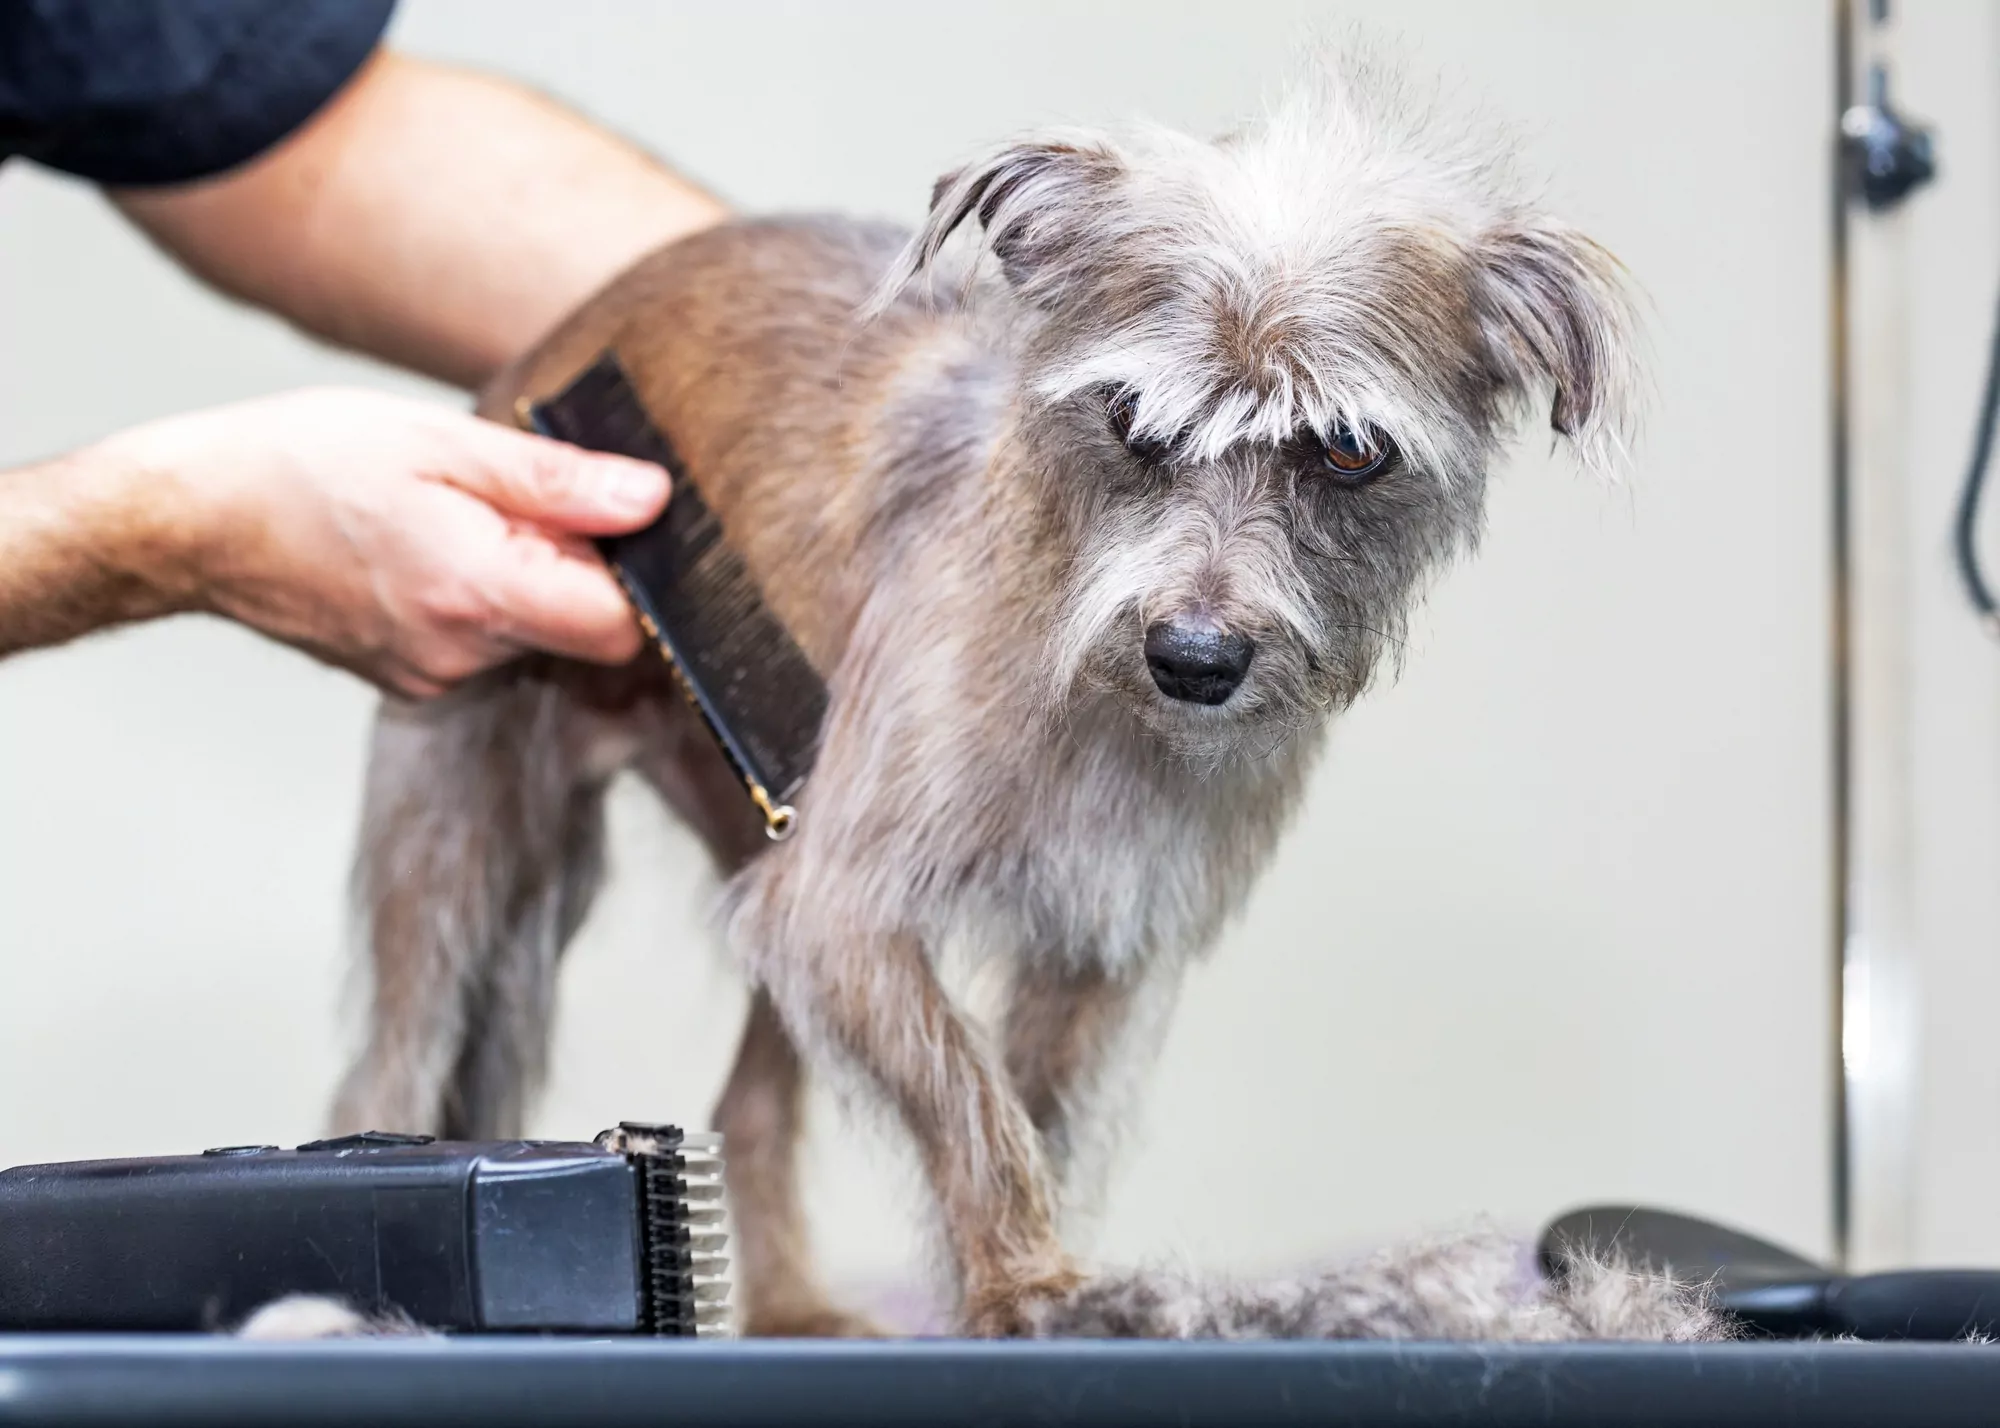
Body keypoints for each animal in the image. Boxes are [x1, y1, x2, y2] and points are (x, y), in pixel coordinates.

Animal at [328, 47, 1672, 1336]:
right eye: (1129, 419)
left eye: (1347, 451)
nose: (1193, 657)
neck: (1084, 672)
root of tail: (549, 347)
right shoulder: (841, 913)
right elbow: (970, 1096)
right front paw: (1029, 1285)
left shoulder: (1091, 944)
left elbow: (1037, 1111)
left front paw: (1027, 1286)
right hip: (459, 858)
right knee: (388, 1074)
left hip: (762, 842)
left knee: (749, 1105)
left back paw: (797, 1310)